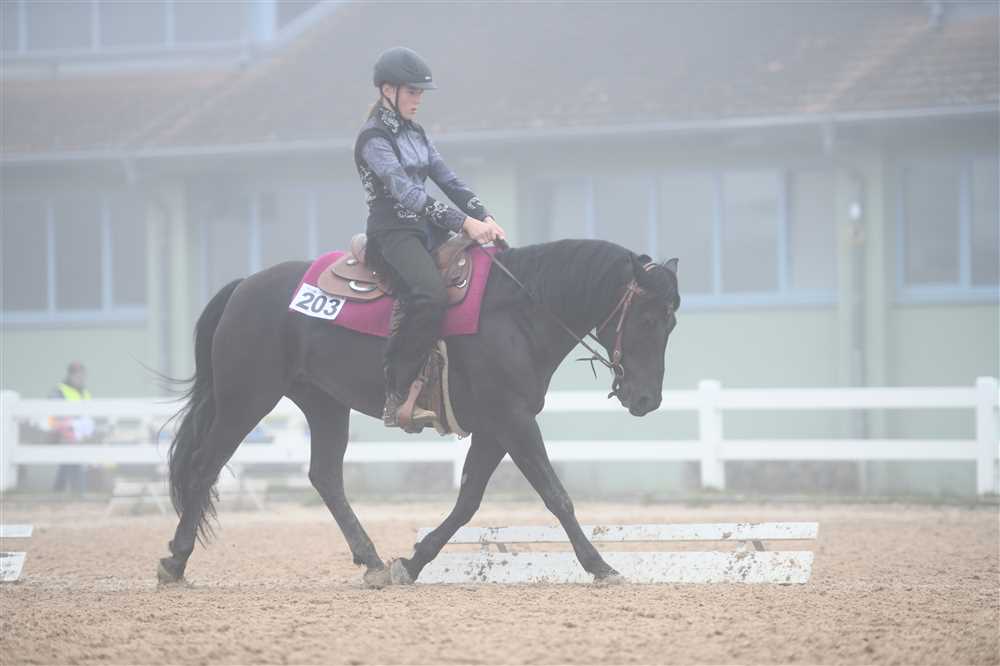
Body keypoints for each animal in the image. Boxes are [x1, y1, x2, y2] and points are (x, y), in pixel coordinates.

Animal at [157, 238, 680, 586]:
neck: (517, 313)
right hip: (246, 398)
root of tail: (244, 287)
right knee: (204, 467)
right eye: (647, 318)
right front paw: (601, 566)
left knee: (325, 476)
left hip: (325, 404)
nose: (647, 399)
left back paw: (371, 562)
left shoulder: (496, 427)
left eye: (672, 322)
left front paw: (411, 562)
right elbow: (556, 495)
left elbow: (468, 500)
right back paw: (175, 563)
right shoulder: (512, 419)